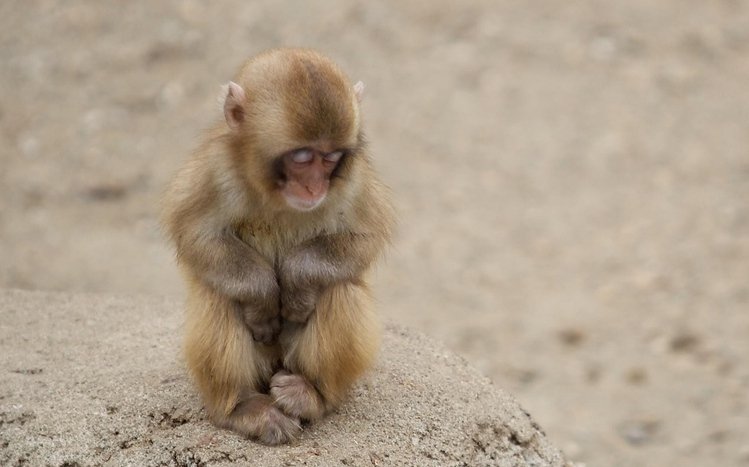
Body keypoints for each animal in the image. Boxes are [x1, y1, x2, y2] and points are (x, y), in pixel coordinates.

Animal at [162, 48, 394, 445]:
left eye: (331, 157)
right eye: (301, 157)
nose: (315, 187)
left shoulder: (354, 179)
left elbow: (365, 236)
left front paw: (297, 283)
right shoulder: (214, 168)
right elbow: (196, 233)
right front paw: (263, 298)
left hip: (290, 357)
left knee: (340, 289)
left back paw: (312, 395)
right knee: (217, 295)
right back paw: (241, 408)